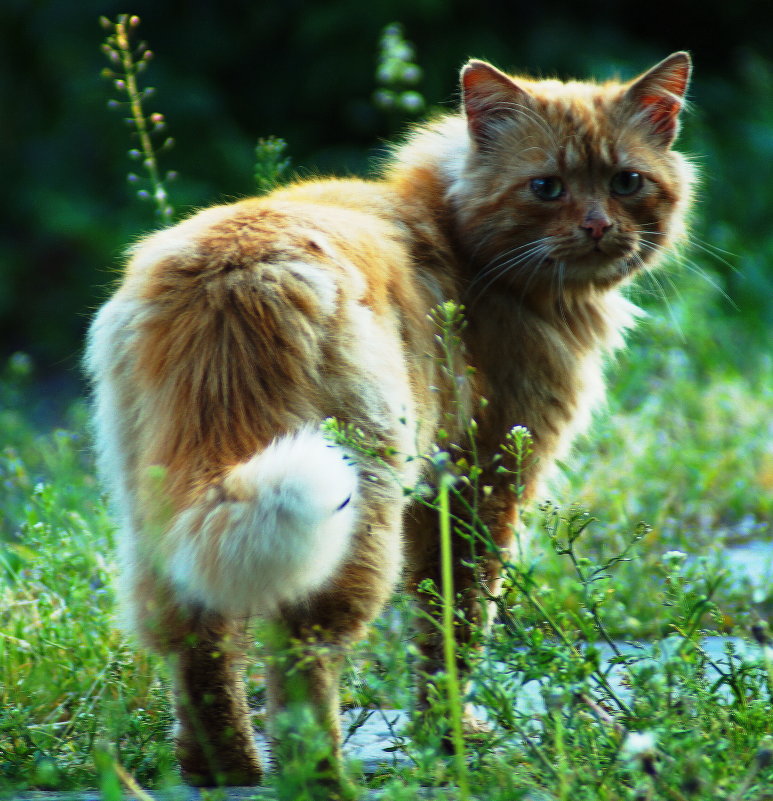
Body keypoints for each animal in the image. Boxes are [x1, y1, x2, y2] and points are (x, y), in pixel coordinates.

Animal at [86, 51, 692, 792]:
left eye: (625, 181)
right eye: (546, 187)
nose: (599, 226)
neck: (463, 245)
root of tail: (237, 273)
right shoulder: (481, 484)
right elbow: (455, 623)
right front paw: (450, 737)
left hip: (163, 508)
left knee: (193, 634)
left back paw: (222, 767)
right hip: (357, 508)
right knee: (303, 655)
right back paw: (319, 777)